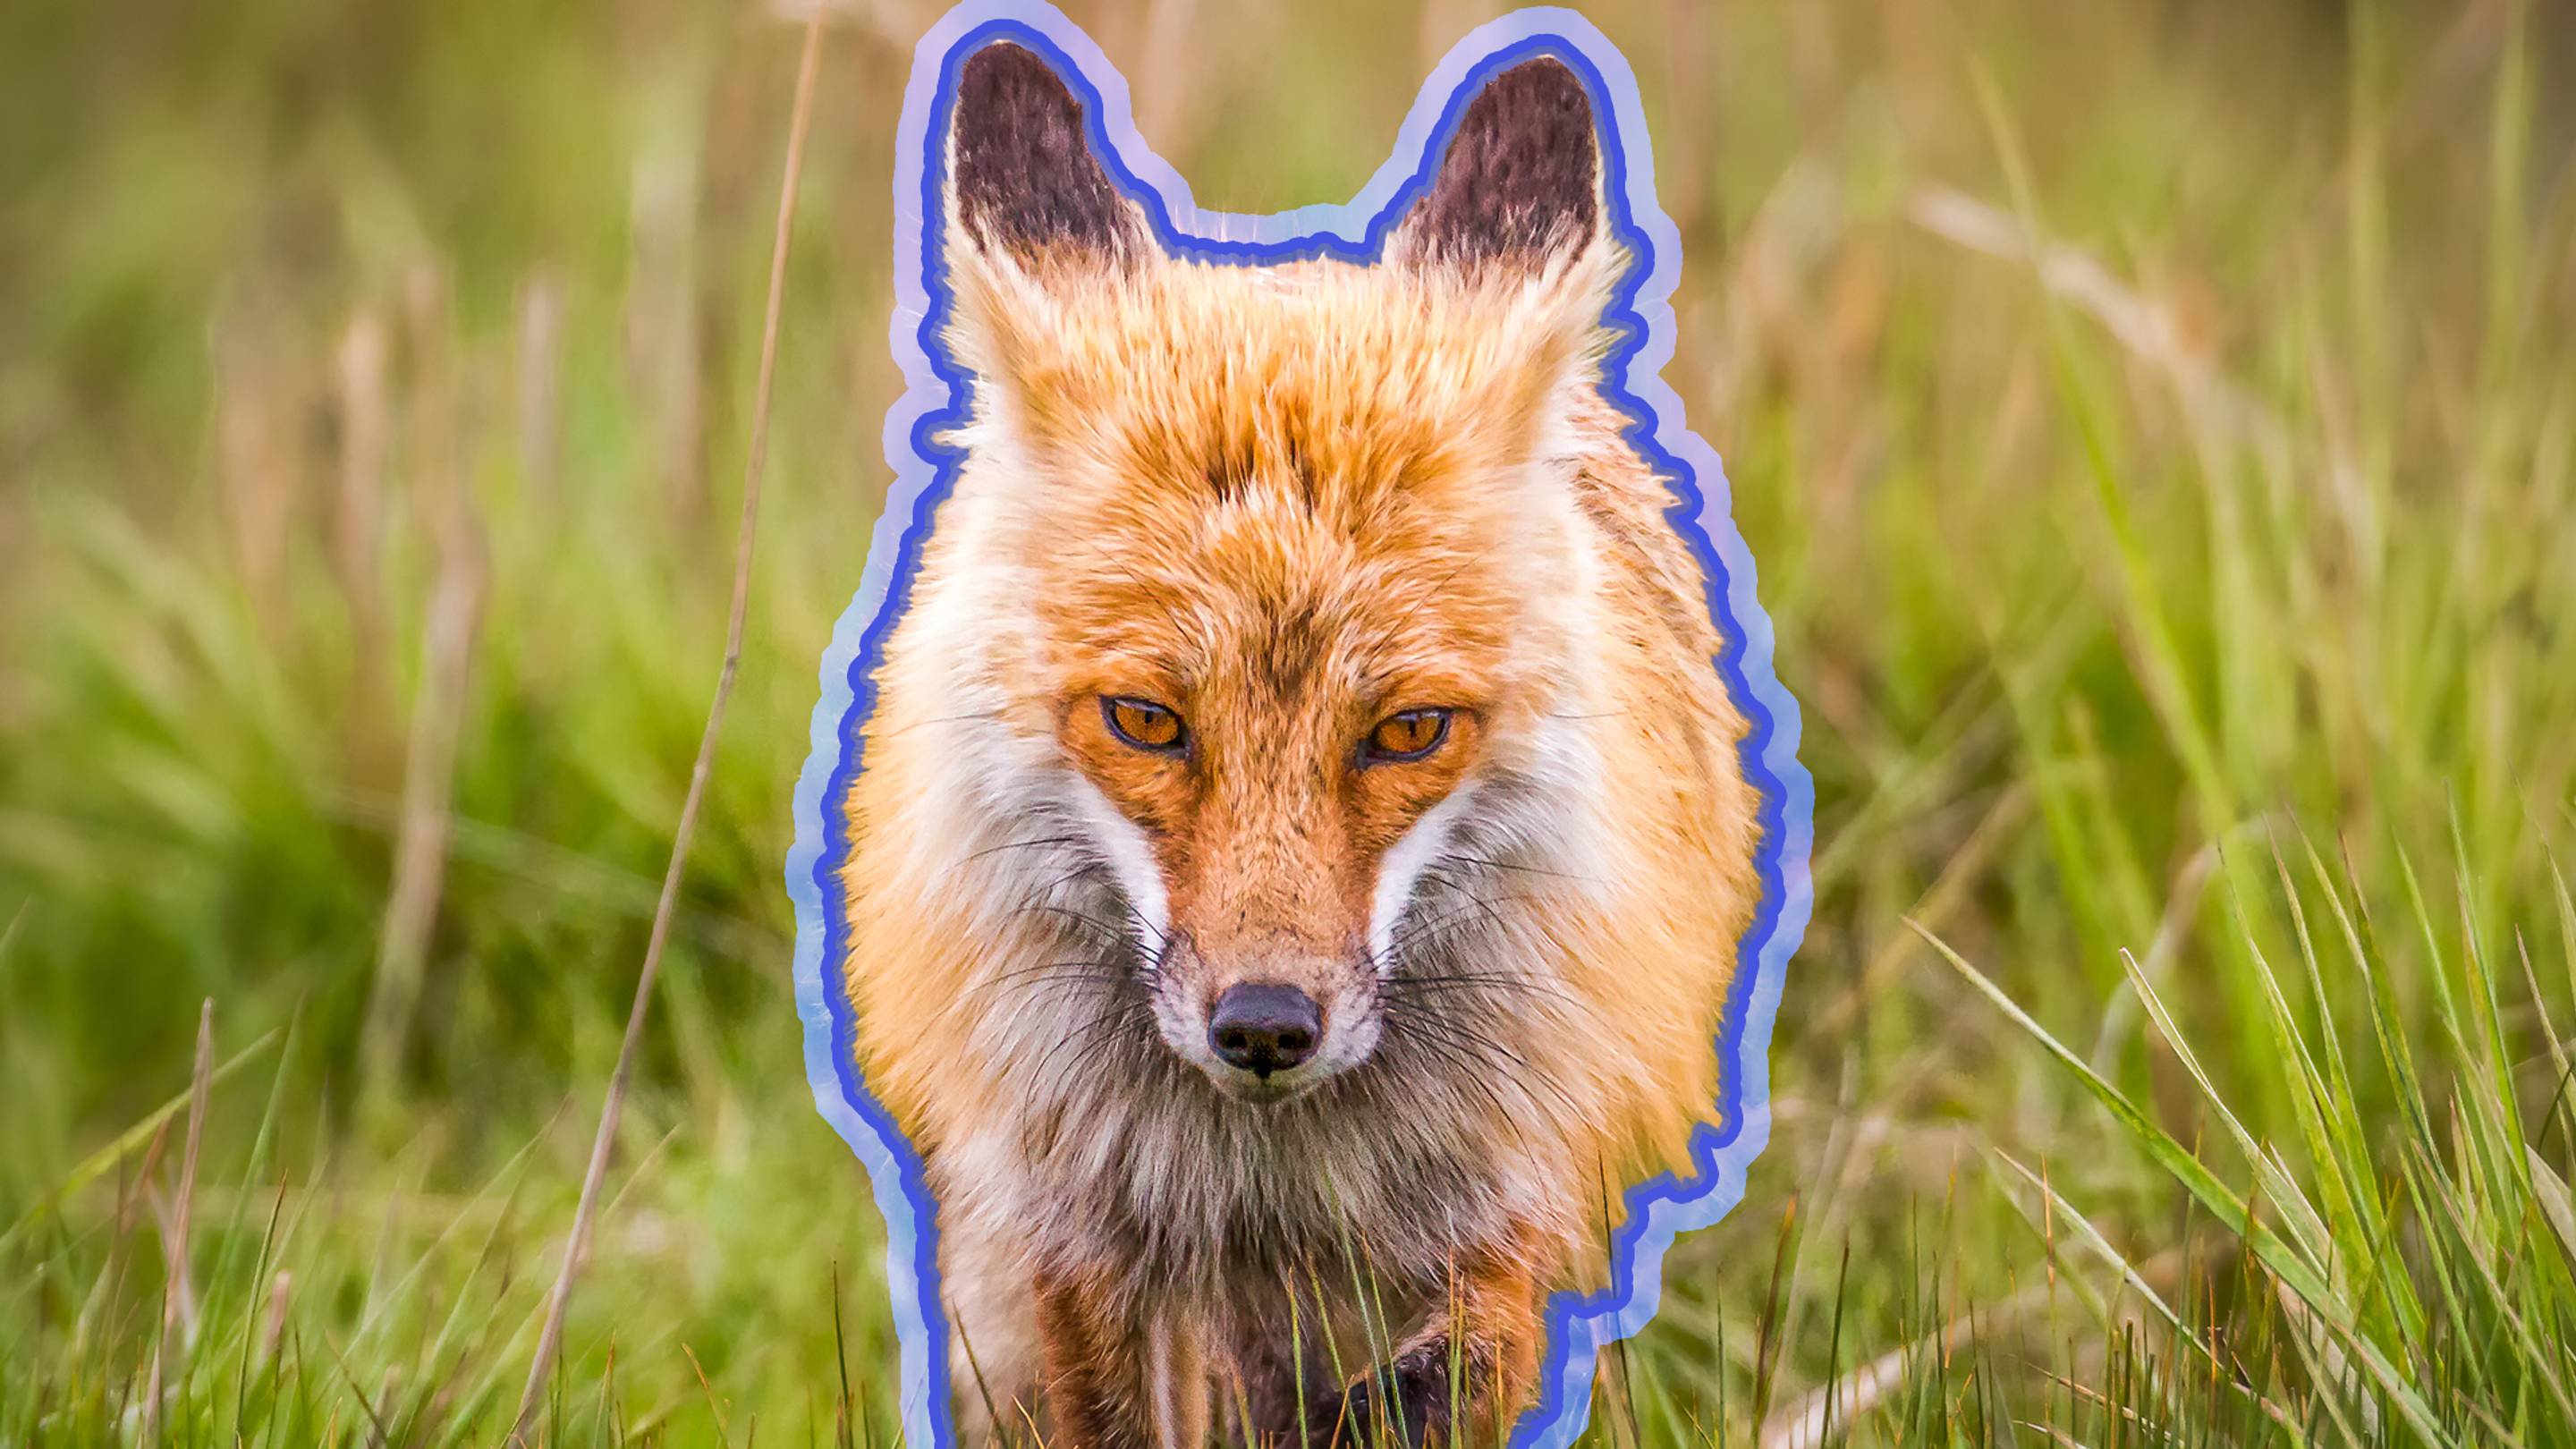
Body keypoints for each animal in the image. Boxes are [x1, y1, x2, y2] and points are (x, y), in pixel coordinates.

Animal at [836, 37, 1762, 1449]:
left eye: (1408, 731)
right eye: (1147, 722)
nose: (1266, 1028)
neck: (1266, 1184)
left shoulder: (1513, 1200)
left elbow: (1443, 1382)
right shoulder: (1080, 1230)